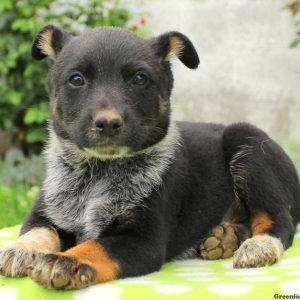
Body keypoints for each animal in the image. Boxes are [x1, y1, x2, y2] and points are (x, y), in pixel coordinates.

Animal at [0, 25, 300, 288]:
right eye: (76, 79)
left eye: (139, 79)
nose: (108, 123)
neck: (98, 172)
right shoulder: (46, 210)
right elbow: (36, 231)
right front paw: (20, 250)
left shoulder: (143, 241)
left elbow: (96, 246)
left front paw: (66, 262)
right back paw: (227, 237)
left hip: (248, 143)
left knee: (280, 220)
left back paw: (259, 245)